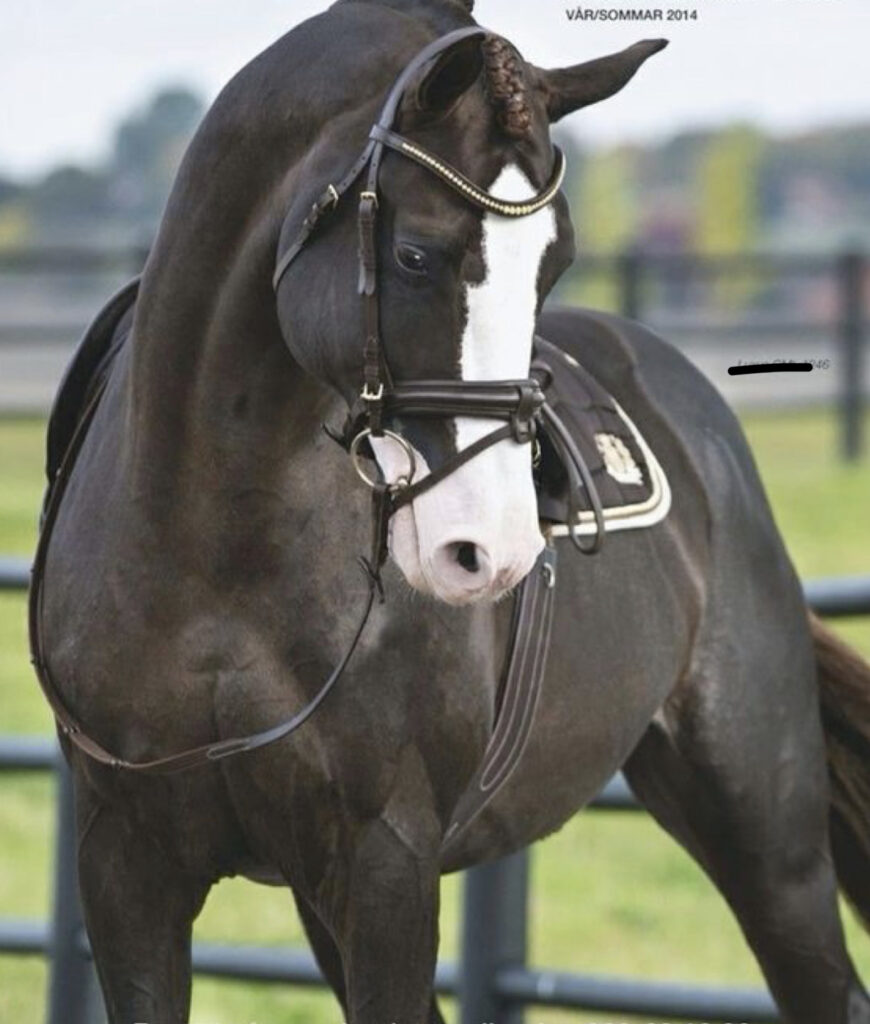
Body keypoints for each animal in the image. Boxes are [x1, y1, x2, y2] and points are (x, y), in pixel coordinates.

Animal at [30, 1, 870, 1022]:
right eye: (415, 252)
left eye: (555, 263)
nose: (491, 550)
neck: (215, 559)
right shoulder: (127, 871)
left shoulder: (387, 861)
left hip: (769, 841)